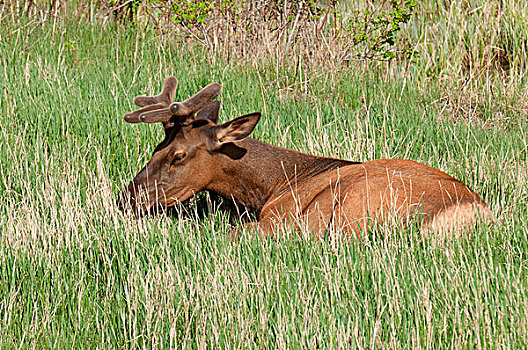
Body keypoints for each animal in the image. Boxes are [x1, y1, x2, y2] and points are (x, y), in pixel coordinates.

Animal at [117, 75, 492, 237]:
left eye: (179, 155)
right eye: (156, 148)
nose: (126, 199)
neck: (269, 186)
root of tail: (471, 213)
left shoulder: (276, 219)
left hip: (355, 211)